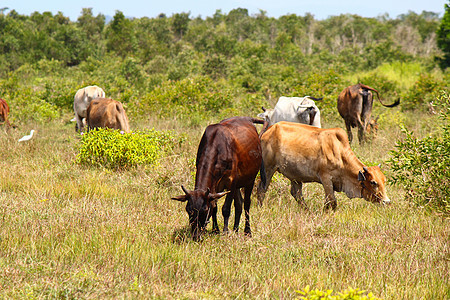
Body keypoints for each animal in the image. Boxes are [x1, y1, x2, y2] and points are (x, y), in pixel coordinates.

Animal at [256, 120, 390, 210]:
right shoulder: (326, 178)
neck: (340, 155)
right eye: (373, 182)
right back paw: (260, 208)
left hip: (295, 175)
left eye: (384, 180)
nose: (387, 202)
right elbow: (331, 201)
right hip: (268, 169)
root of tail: (269, 130)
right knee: (261, 190)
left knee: (296, 194)